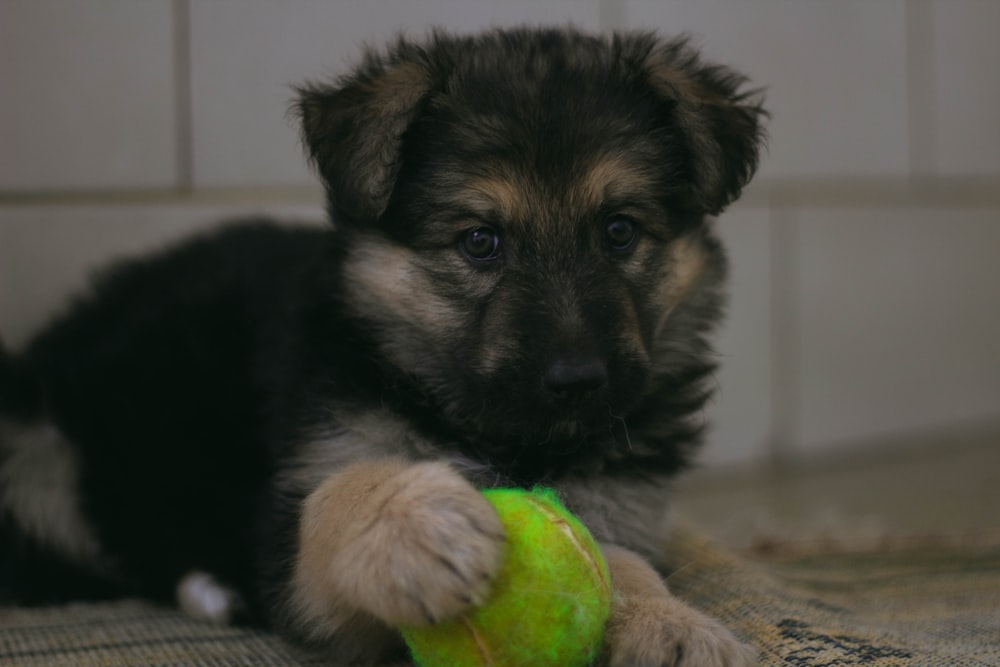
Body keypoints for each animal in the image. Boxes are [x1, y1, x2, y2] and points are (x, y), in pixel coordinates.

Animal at [1, 27, 764, 667]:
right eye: (480, 241)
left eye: (619, 231)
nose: (577, 380)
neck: (498, 436)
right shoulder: (302, 537)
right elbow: (337, 494)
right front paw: (411, 520)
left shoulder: (618, 506)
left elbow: (621, 562)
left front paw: (671, 622)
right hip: (36, 455)